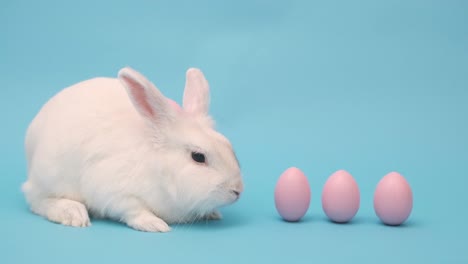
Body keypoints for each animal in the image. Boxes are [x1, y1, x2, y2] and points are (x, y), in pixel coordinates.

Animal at [21, 67, 243, 232]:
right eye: (198, 157)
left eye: (229, 146)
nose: (237, 191)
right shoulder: (111, 189)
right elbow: (132, 209)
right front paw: (154, 224)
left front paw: (212, 213)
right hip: (51, 176)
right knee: (36, 200)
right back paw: (73, 213)